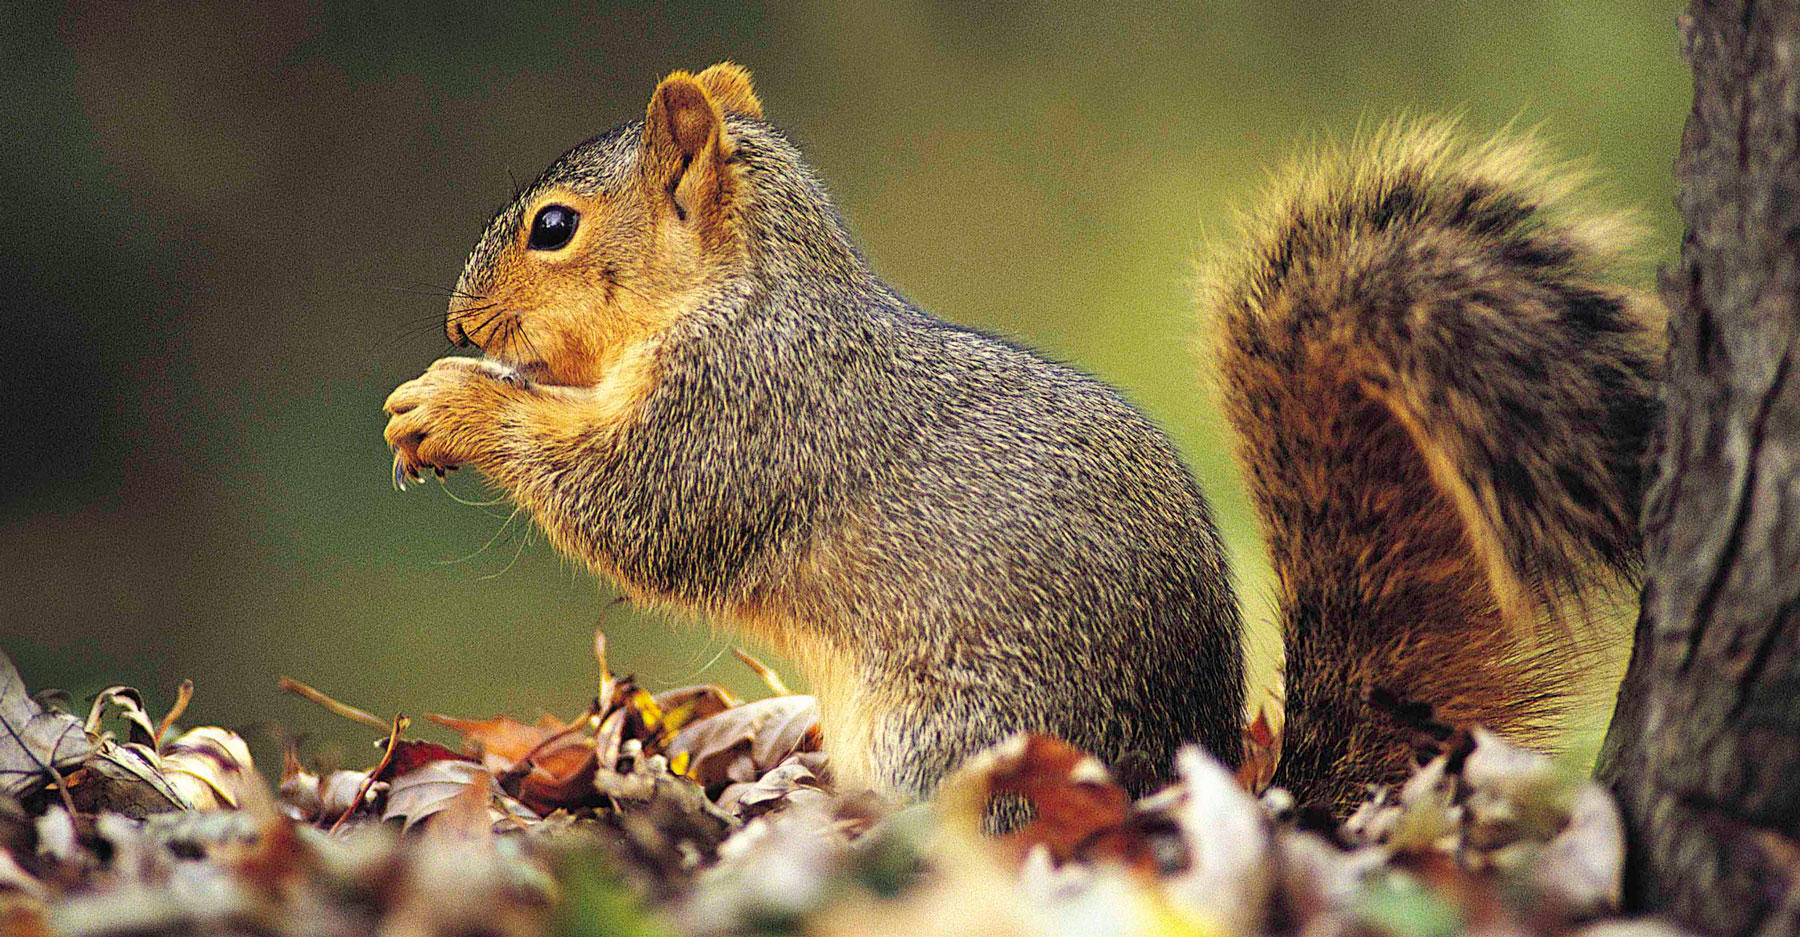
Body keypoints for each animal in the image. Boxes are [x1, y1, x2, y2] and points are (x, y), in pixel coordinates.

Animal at [383, 63, 1663, 818]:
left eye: (555, 228)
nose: (457, 322)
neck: (745, 288)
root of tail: (1175, 781)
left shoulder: (744, 412)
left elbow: (637, 506)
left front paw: (452, 403)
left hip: (955, 735)